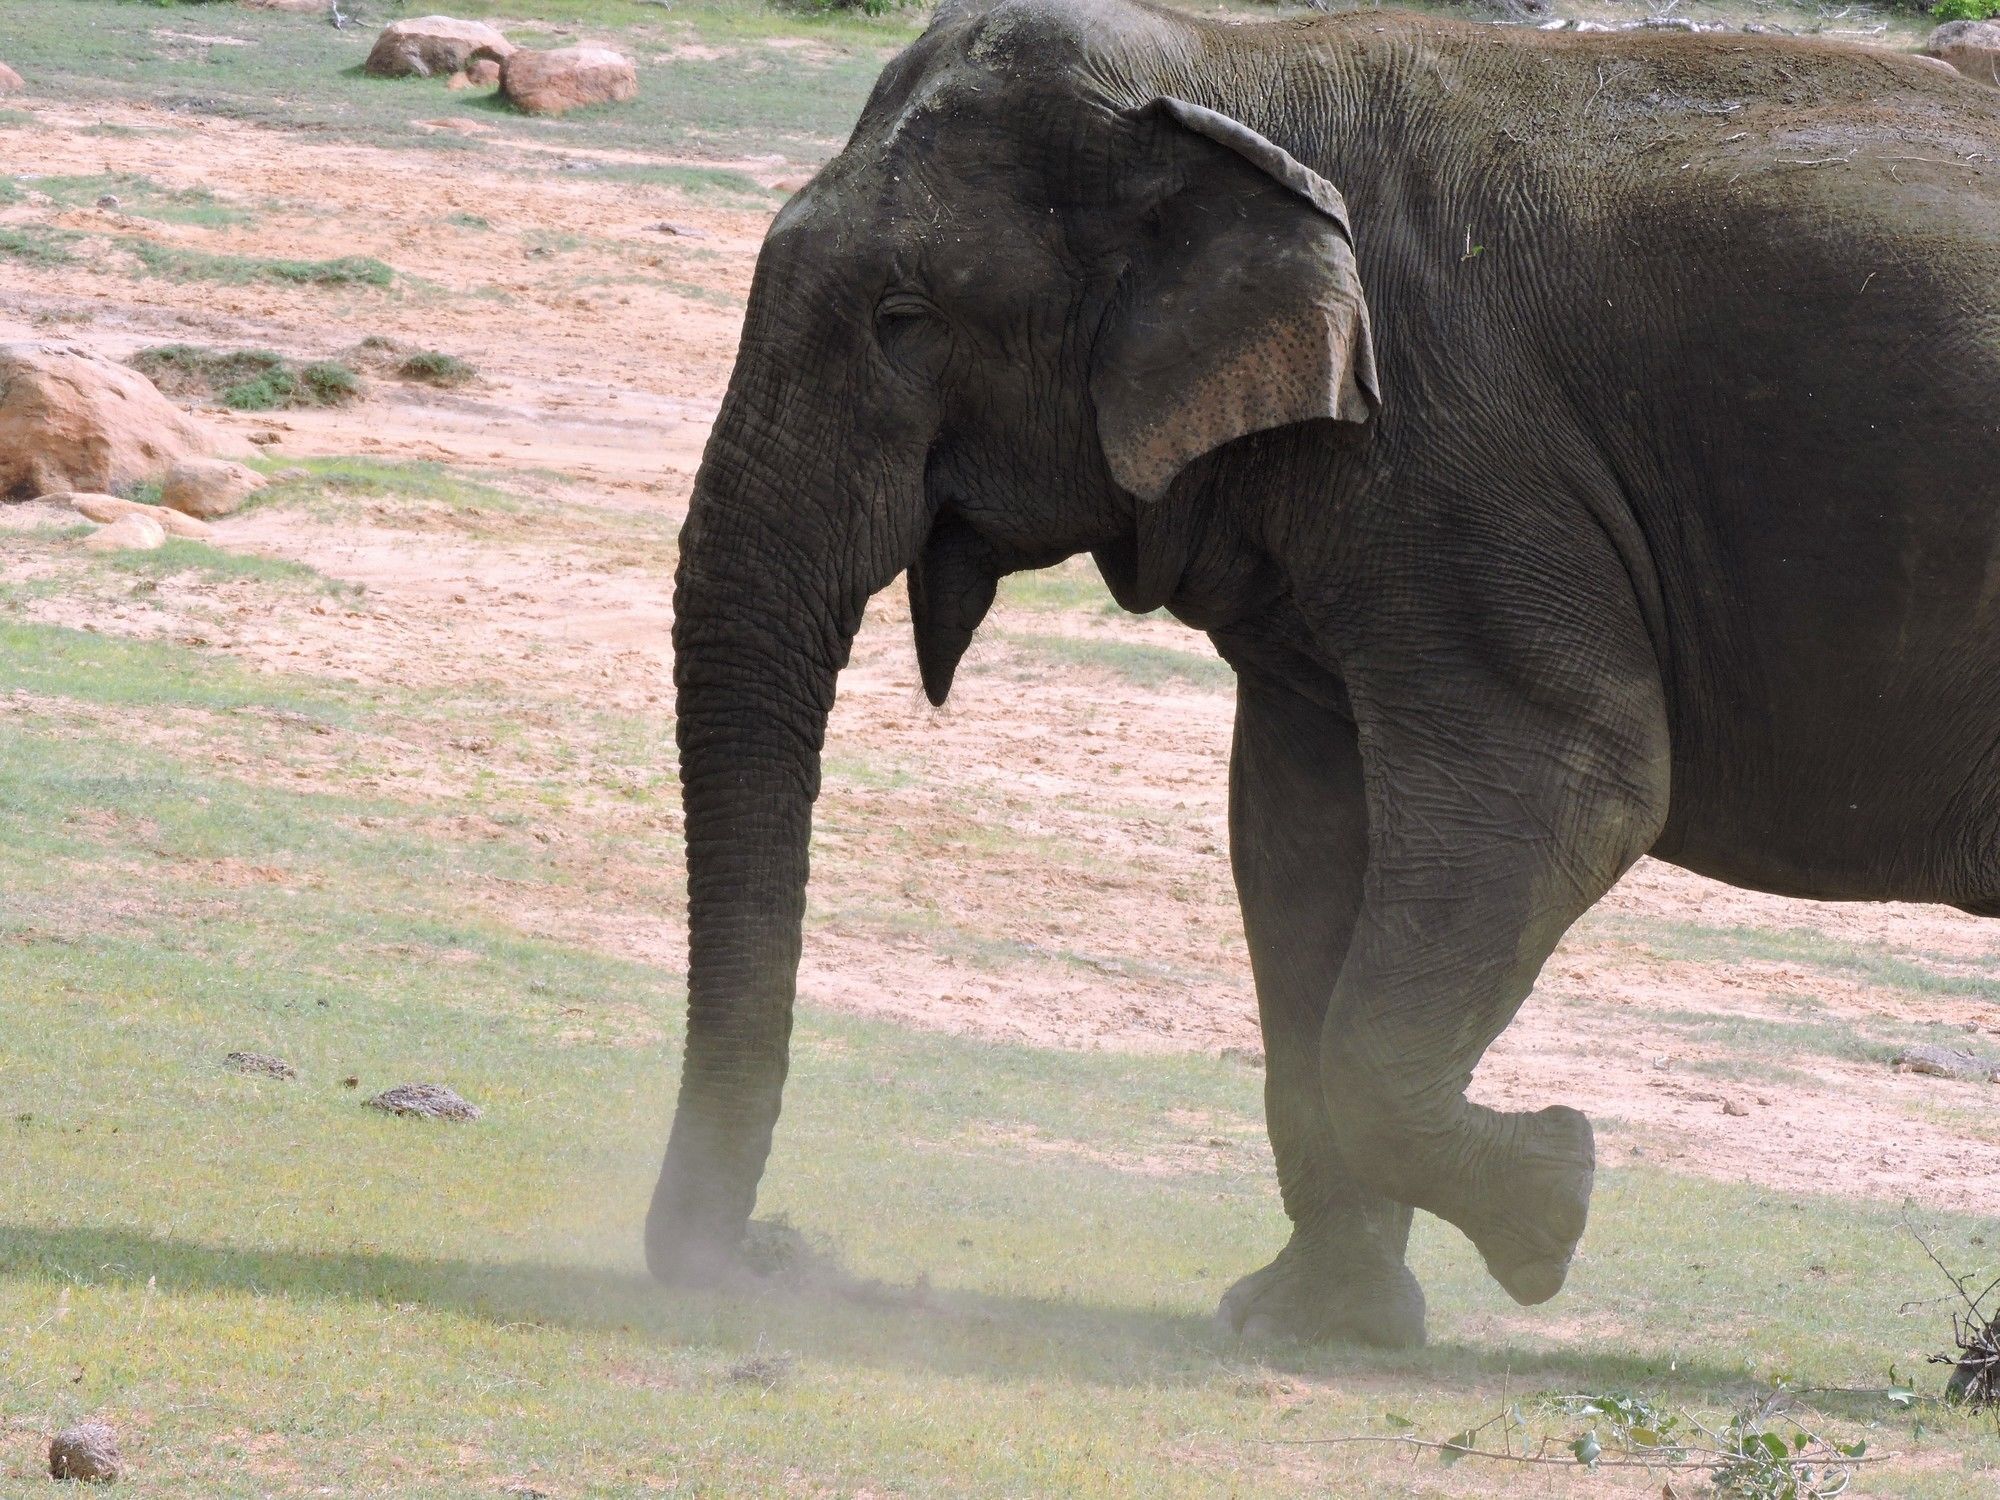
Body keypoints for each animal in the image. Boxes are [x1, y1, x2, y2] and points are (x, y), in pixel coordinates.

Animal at [648, 0, 2000, 1360]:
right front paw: (1314, 1323)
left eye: (904, 316)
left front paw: (1554, 1202)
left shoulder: (1462, 467)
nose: (751, 1263)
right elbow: (1296, 839)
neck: (1224, 65)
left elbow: (1569, 790)